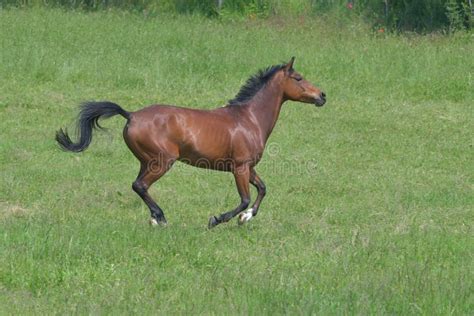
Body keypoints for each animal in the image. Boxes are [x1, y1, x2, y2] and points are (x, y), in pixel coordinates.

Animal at [55, 58, 326, 228]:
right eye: (298, 78)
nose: (322, 95)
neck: (249, 118)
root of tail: (131, 115)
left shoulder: (249, 167)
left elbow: (262, 189)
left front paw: (246, 218)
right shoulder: (239, 167)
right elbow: (245, 199)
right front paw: (217, 220)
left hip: (147, 161)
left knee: (140, 186)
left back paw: (155, 217)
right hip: (163, 162)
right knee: (139, 185)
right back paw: (161, 218)